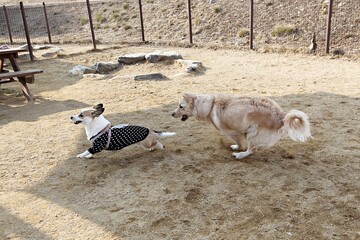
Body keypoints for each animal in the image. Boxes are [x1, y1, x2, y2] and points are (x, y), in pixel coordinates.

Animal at [172, 94, 312, 159]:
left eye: (181, 106)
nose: (172, 114)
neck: (209, 106)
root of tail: (281, 115)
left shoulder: (232, 132)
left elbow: (239, 142)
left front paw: (236, 148)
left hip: (250, 134)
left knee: (251, 150)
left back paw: (240, 155)